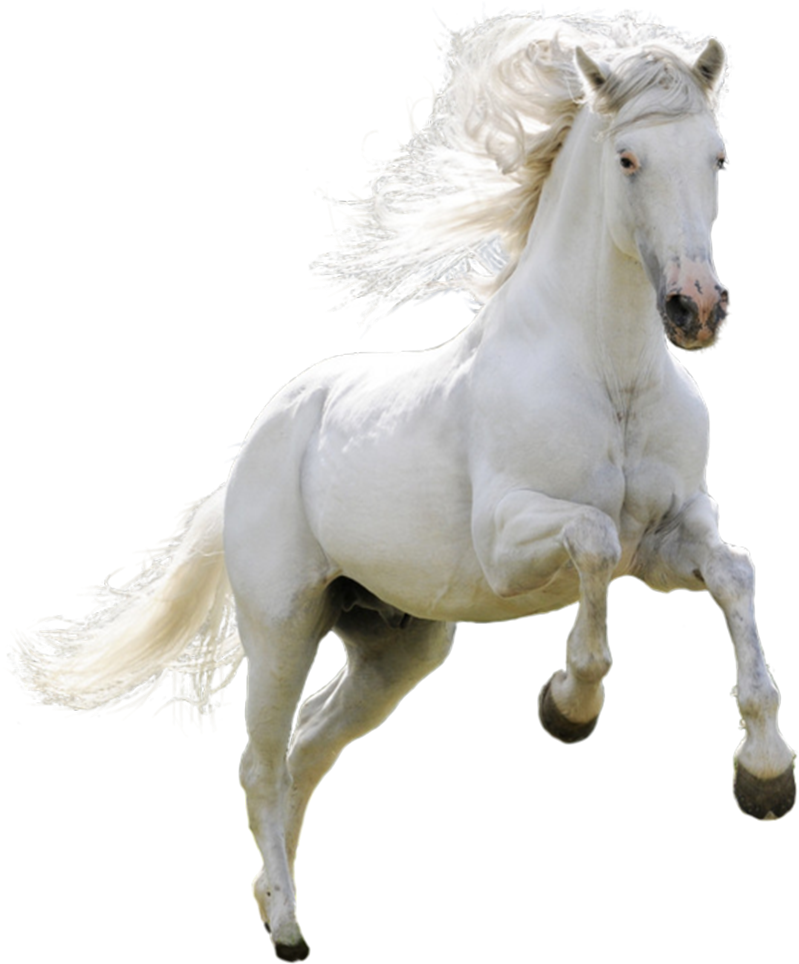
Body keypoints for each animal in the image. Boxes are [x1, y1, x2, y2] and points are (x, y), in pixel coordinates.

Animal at [6, 9, 796, 962]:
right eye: (627, 159)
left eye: (714, 157)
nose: (695, 310)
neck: (611, 375)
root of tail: (260, 442)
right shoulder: (512, 544)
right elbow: (591, 543)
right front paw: (569, 704)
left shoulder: (673, 535)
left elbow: (733, 570)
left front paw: (764, 777)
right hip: (284, 624)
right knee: (261, 761)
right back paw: (286, 929)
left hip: (394, 643)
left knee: (308, 749)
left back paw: (274, 895)